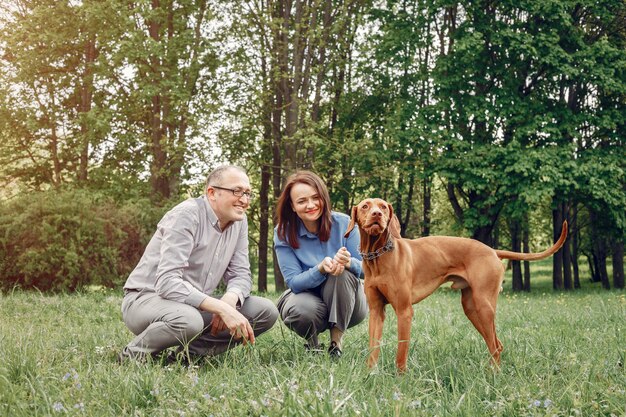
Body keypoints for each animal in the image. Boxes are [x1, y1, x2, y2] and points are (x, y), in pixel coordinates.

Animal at [344, 198, 568, 370]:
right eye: (365, 206)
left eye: (383, 206)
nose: (376, 215)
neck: (378, 256)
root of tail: (492, 250)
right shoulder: (376, 311)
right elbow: (373, 348)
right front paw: (370, 374)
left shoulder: (404, 311)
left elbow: (401, 351)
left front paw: (400, 380)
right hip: (471, 308)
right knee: (496, 343)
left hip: (484, 306)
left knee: (495, 345)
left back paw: (494, 376)